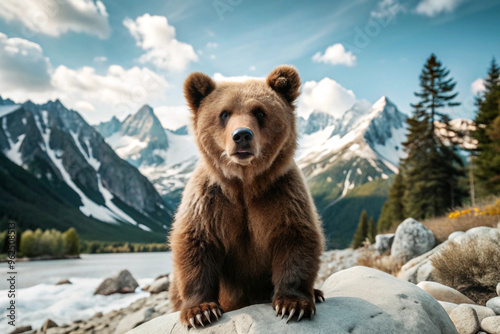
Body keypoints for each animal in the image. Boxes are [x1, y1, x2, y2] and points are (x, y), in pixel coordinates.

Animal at [168, 64, 324, 328]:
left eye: (260, 112)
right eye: (224, 114)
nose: (242, 135)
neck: (244, 184)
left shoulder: (281, 195)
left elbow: (295, 236)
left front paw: (293, 304)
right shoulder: (210, 201)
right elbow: (196, 242)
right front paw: (201, 311)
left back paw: (317, 292)